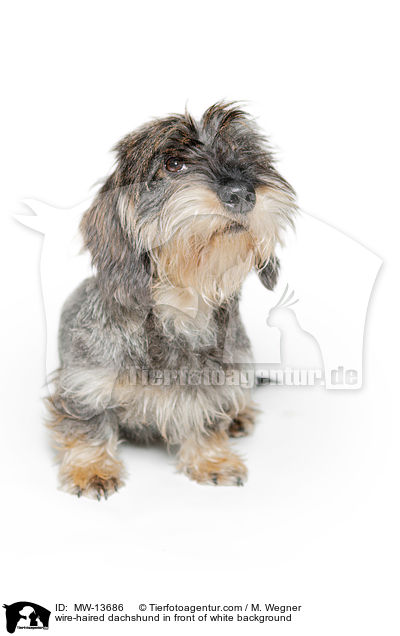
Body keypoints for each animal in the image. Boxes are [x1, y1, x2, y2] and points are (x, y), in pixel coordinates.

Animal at [47, 102, 296, 500]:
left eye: (246, 153)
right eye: (173, 163)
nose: (242, 193)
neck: (182, 307)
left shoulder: (217, 384)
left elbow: (207, 417)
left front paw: (212, 458)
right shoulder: (84, 382)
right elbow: (88, 423)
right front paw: (91, 468)